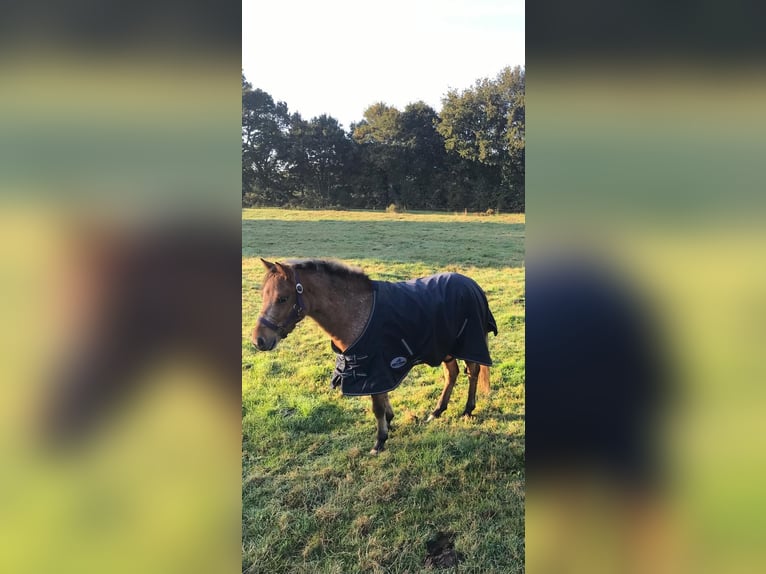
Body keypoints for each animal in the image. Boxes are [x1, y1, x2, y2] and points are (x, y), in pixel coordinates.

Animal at [252, 258, 498, 454]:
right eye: (263, 295)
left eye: (282, 298)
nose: (258, 340)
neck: (356, 312)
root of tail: (472, 285)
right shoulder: (377, 367)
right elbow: (383, 399)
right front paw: (389, 422)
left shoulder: (375, 367)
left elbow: (377, 406)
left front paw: (380, 441)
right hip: (445, 347)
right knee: (452, 374)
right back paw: (437, 411)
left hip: (468, 344)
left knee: (473, 372)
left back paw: (468, 409)